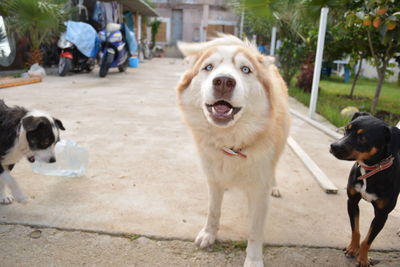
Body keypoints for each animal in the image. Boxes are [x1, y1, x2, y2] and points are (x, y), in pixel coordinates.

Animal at [330, 112, 398, 266]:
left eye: (363, 138)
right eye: (346, 129)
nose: (333, 146)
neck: (371, 170)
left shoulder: (382, 215)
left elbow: (368, 240)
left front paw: (363, 259)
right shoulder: (352, 201)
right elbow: (356, 230)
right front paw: (352, 248)